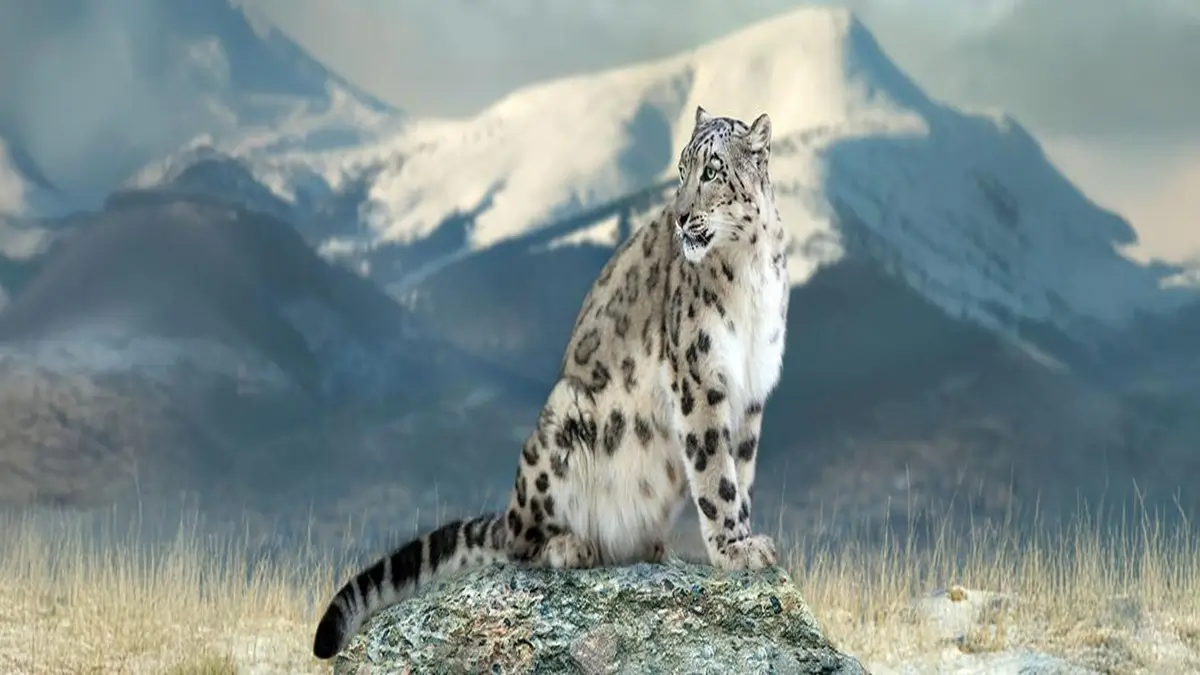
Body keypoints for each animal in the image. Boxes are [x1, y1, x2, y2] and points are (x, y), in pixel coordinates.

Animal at [312, 105, 790, 660]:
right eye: (680, 169)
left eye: (712, 171)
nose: (678, 214)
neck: (750, 275)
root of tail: (512, 510)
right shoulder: (697, 375)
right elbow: (715, 472)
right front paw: (735, 547)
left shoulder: (752, 390)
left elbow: (741, 470)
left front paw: (745, 538)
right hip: (564, 420)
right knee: (520, 545)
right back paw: (571, 545)